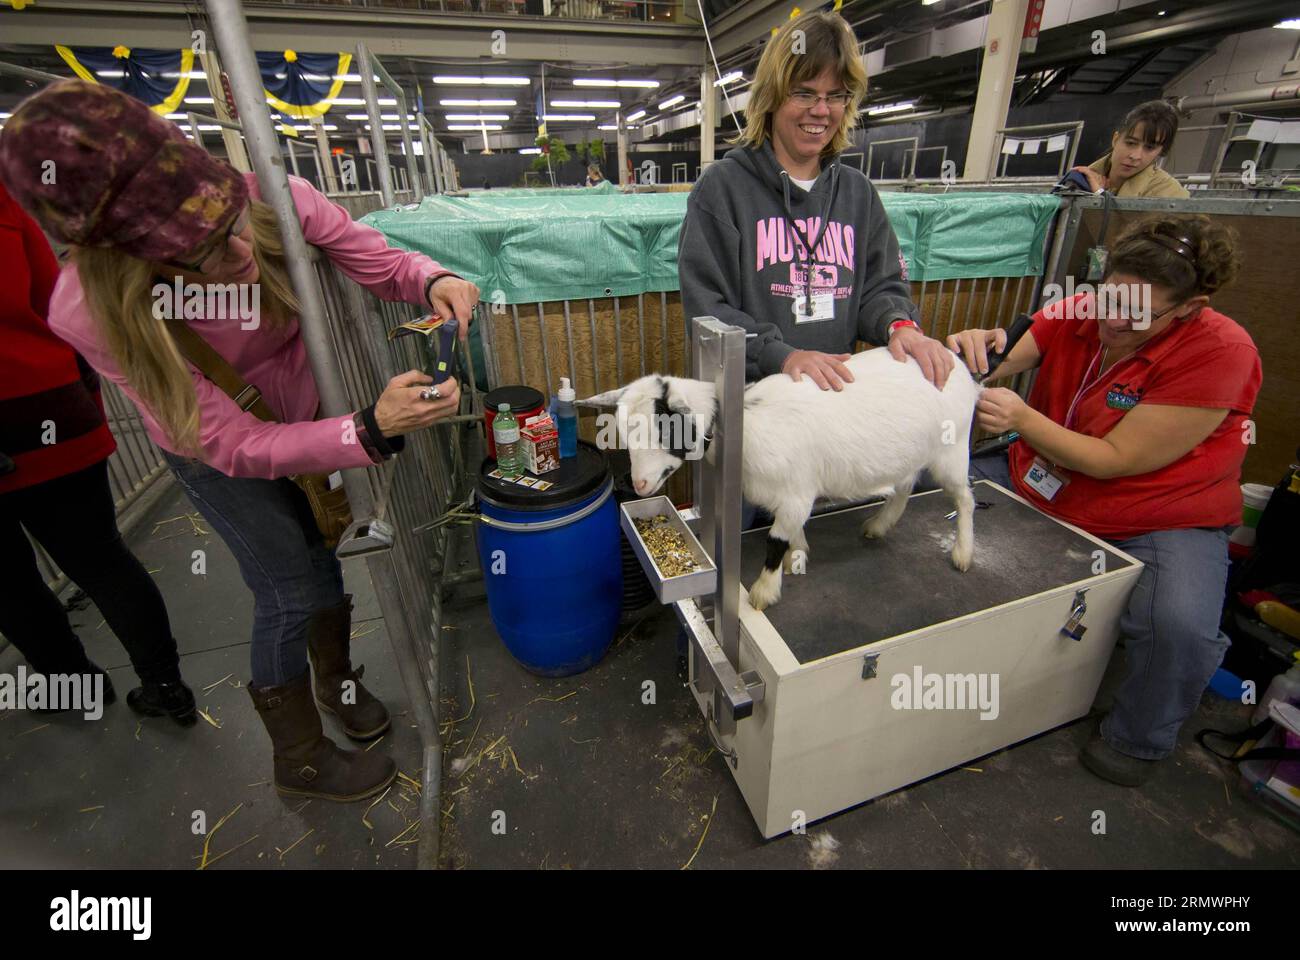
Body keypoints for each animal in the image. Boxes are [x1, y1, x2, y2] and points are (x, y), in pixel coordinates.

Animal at [585, 348, 977, 608]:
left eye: (665, 429)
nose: (639, 485)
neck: (744, 425)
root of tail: (958, 364)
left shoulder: (796, 492)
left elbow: (774, 539)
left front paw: (764, 591)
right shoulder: (788, 496)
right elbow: (789, 533)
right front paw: (798, 553)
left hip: (953, 448)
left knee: (965, 499)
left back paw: (963, 553)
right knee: (905, 486)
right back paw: (880, 525)